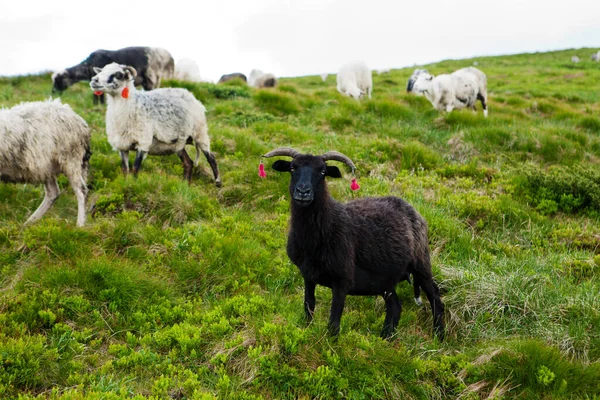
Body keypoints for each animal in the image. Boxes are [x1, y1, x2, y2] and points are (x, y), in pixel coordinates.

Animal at [0, 99, 91, 227]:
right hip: (46, 166)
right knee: (53, 193)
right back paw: (28, 223)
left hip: (71, 158)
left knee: (81, 190)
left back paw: (80, 225)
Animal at [92, 63, 224, 188]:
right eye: (102, 70)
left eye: (118, 74)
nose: (94, 80)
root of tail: (189, 94)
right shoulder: (122, 146)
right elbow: (125, 169)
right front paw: (126, 184)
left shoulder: (143, 142)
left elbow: (135, 168)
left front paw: (133, 184)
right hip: (178, 143)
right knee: (188, 163)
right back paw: (185, 185)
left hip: (200, 132)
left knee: (211, 157)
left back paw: (218, 182)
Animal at [262, 148, 446, 340]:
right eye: (292, 168)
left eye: (322, 171)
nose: (303, 192)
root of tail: (410, 208)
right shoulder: (308, 275)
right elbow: (309, 306)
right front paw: (307, 331)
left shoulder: (342, 279)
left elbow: (334, 321)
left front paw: (330, 344)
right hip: (384, 279)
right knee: (395, 306)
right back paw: (384, 339)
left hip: (420, 263)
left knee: (435, 297)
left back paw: (439, 336)